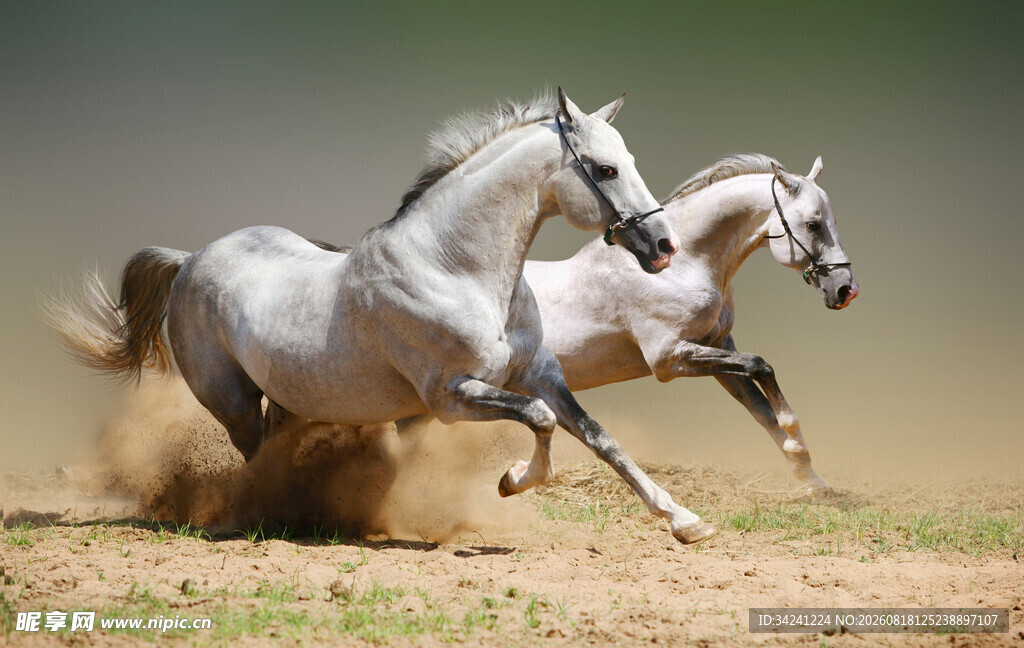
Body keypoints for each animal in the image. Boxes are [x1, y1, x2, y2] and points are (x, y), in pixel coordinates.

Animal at [47, 88, 720, 544]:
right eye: (605, 168)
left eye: (627, 158)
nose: (663, 247)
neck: (455, 268)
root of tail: (190, 260)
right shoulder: (451, 397)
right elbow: (540, 422)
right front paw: (511, 480)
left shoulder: (540, 374)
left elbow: (600, 438)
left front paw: (685, 521)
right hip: (231, 400)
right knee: (254, 456)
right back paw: (263, 516)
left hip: (290, 398)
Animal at [524, 153, 858, 497]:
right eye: (813, 225)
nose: (846, 290)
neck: (681, 267)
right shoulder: (669, 359)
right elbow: (761, 366)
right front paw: (797, 442)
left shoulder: (717, 348)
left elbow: (762, 410)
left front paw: (814, 480)